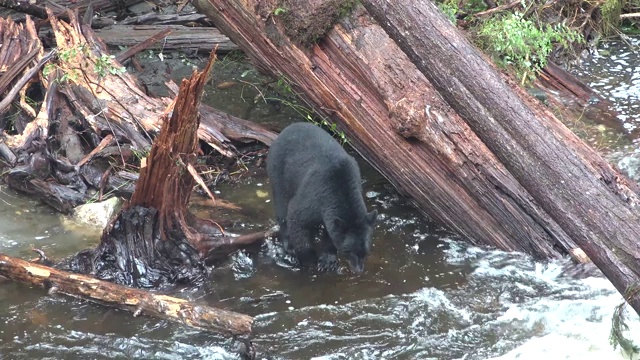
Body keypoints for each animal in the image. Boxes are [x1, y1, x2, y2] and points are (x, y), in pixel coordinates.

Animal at [266, 122, 378, 274]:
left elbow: (330, 232)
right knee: (281, 206)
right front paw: (308, 259)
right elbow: (296, 215)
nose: (359, 270)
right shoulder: (314, 196)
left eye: (365, 251)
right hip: (278, 171)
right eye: (348, 251)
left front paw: (328, 260)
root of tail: (287, 128)